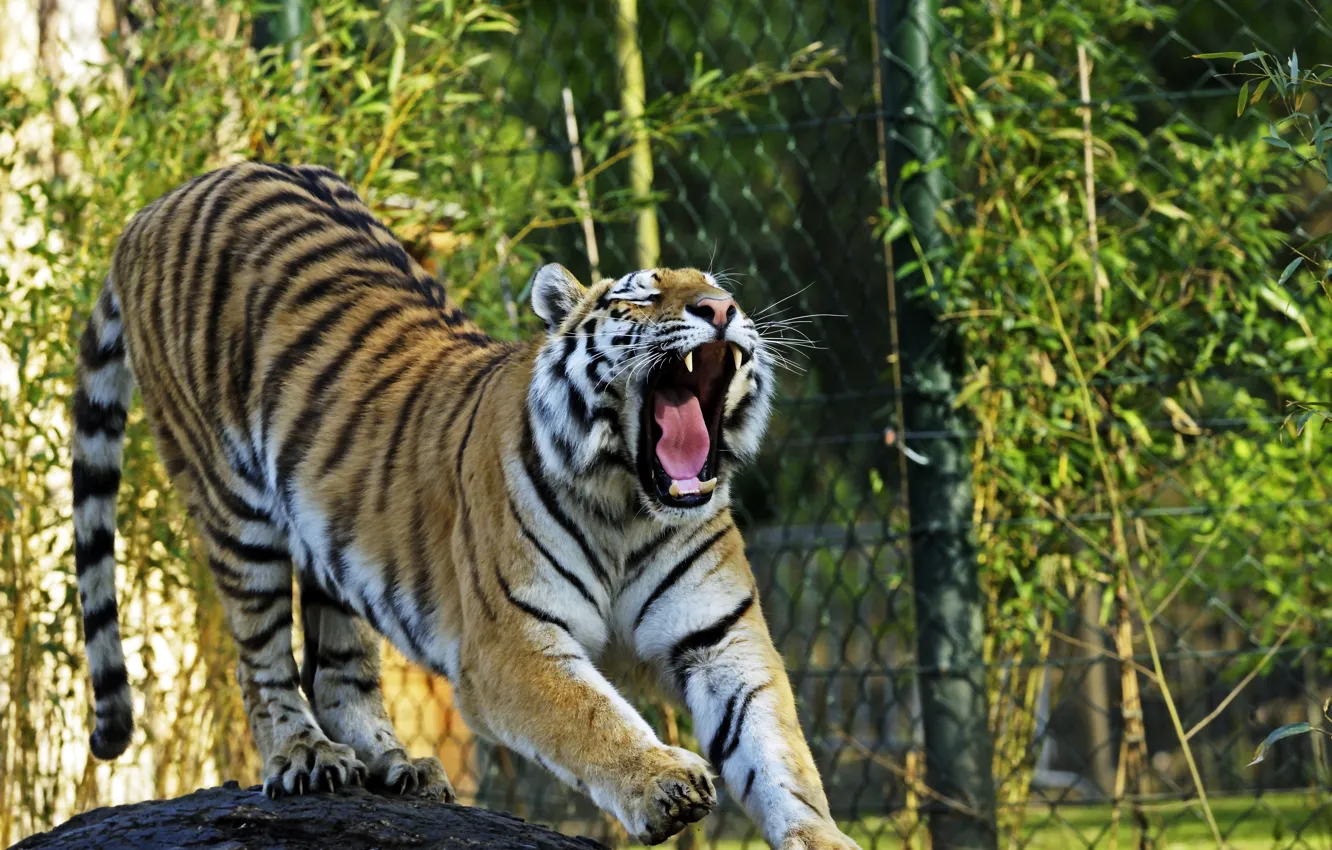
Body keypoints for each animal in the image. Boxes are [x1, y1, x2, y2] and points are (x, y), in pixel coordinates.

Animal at [70, 161, 860, 849]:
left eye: (724, 290)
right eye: (639, 296)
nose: (721, 310)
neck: (627, 508)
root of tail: (163, 199)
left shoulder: (722, 637)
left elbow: (779, 753)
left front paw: (822, 838)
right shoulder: (511, 644)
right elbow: (593, 718)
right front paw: (662, 780)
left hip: (328, 533)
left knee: (338, 667)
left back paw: (397, 766)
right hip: (235, 507)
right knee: (259, 659)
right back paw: (304, 756)